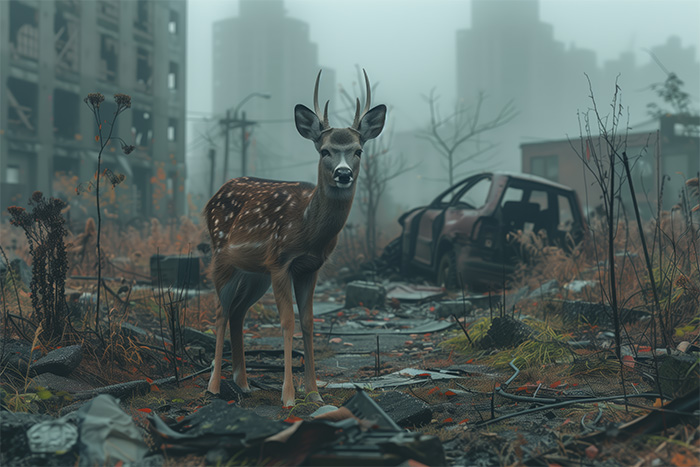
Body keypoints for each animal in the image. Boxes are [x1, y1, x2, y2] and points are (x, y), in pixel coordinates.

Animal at [204, 70, 386, 406]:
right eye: (325, 150)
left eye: (358, 150)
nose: (343, 173)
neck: (307, 229)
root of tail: (214, 196)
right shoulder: (280, 262)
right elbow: (287, 322)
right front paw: (288, 396)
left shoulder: (310, 268)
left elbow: (308, 322)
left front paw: (314, 392)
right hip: (221, 256)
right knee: (221, 311)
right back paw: (213, 387)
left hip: (254, 273)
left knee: (238, 311)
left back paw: (244, 383)